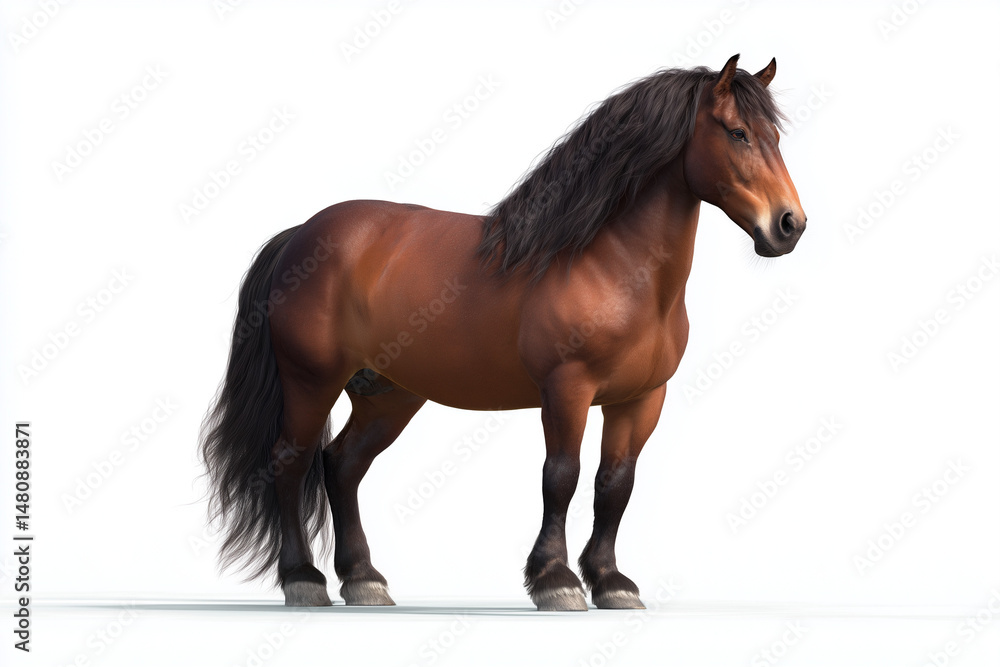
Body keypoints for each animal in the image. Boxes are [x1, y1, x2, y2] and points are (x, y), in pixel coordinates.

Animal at [200, 54, 806, 611]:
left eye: (775, 136)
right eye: (737, 133)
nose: (789, 225)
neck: (612, 265)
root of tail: (302, 233)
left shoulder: (640, 400)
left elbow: (615, 485)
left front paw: (612, 583)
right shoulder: (567, 390)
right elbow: (561, 476)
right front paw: (556, 581)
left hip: (388, 394)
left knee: (342, 465)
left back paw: (364, 580)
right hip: (312, 382)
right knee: (291, 460)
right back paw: (304, 580)